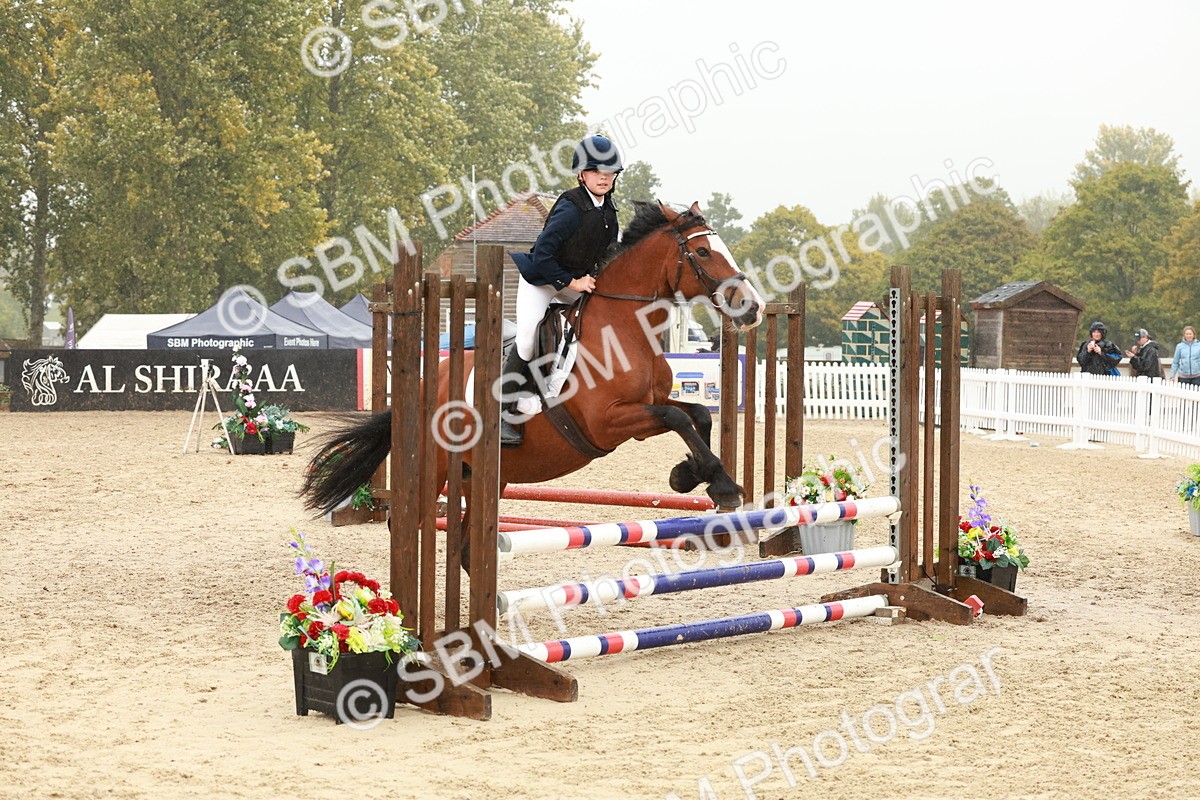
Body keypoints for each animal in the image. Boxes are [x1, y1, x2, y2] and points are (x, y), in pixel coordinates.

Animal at [300, 200, 765, 521]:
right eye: (702, 252)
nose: (753, 308)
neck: (624, 329)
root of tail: (419, 386)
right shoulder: (608, 421)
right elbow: (678, 418)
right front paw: (719, 483)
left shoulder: (645, 408)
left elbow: (696, 414)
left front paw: (694, 475)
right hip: (432, 471)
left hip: (480, 475)